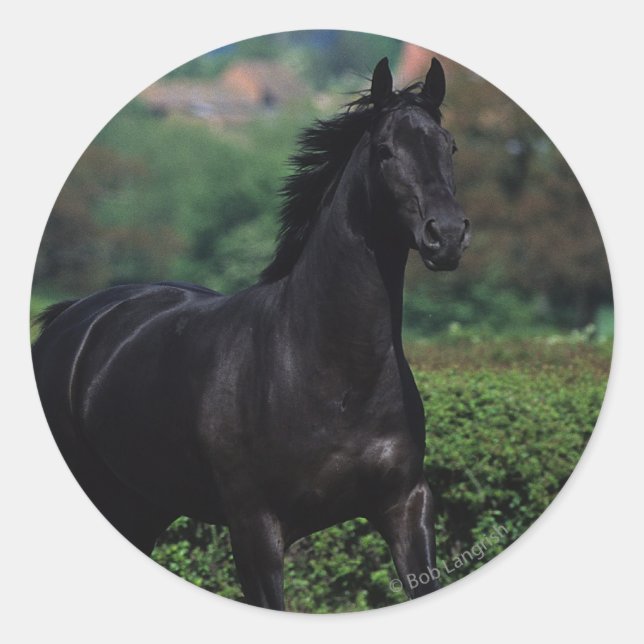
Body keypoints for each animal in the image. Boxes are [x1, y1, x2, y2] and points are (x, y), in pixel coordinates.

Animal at [32, 57, 470, 610]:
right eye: (385, 150)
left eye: (449, 145)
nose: (447, 236)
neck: (331, 374)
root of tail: (74, 319)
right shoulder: (255, 530)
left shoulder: (406, 506)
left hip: (143, 506)